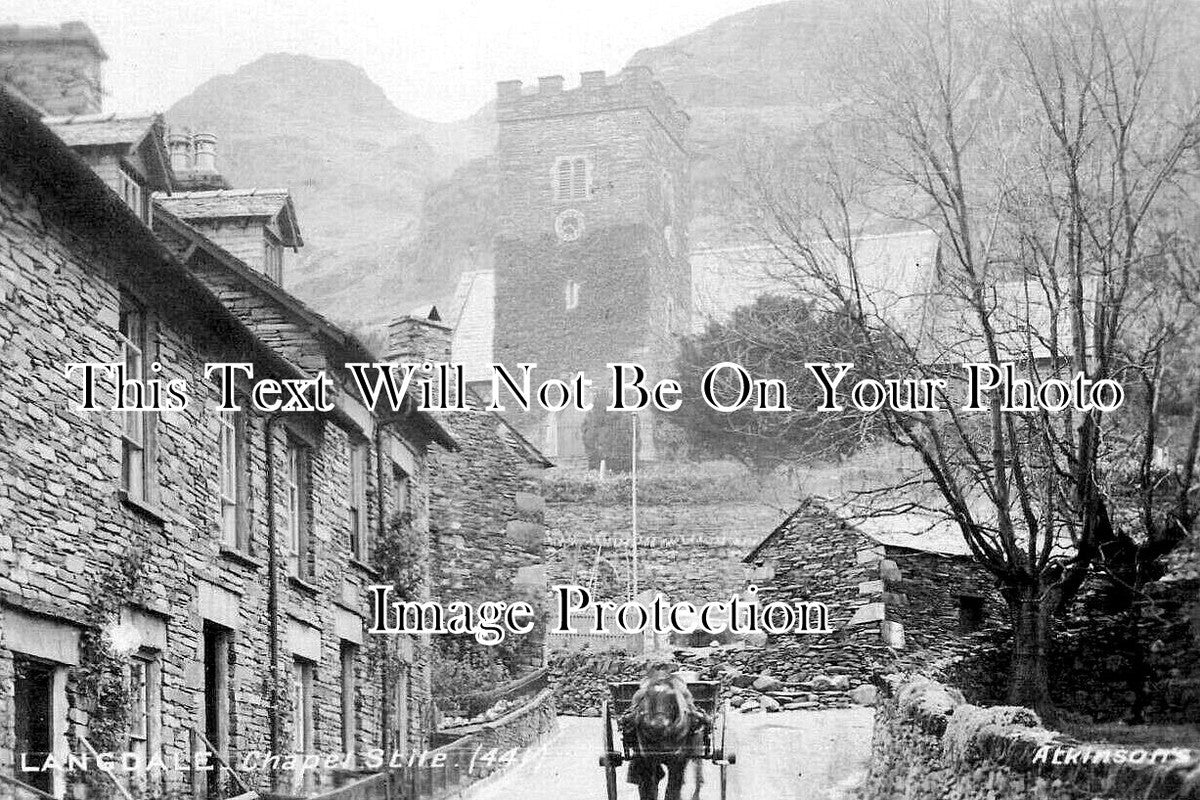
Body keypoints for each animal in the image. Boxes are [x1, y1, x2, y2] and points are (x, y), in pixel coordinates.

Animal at [619, 671, 710, 800]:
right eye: (647, 699)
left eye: (672, 701)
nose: (658, 725)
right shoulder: (648, 758)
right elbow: (649, 786)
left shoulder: (677, 760)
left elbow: (672, 789)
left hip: (696, 749)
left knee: (697, 772)